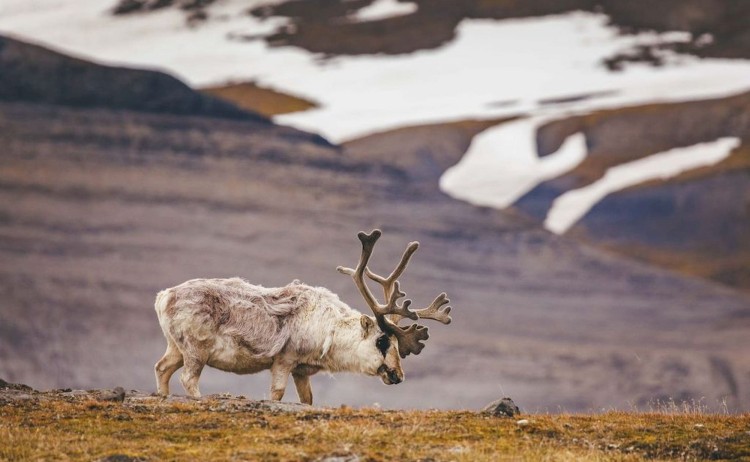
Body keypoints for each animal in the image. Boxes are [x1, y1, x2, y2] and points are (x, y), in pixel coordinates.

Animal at [153, 229, 452, 404]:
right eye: (382, 341)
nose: (398, 376)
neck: (330, 332)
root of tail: (163, 296)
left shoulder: (301, 371)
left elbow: (308, 399)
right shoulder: (284, 360)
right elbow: (276, 394)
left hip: (175, 346)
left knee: (161, 368)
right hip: (196, 350)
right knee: (188, 378)